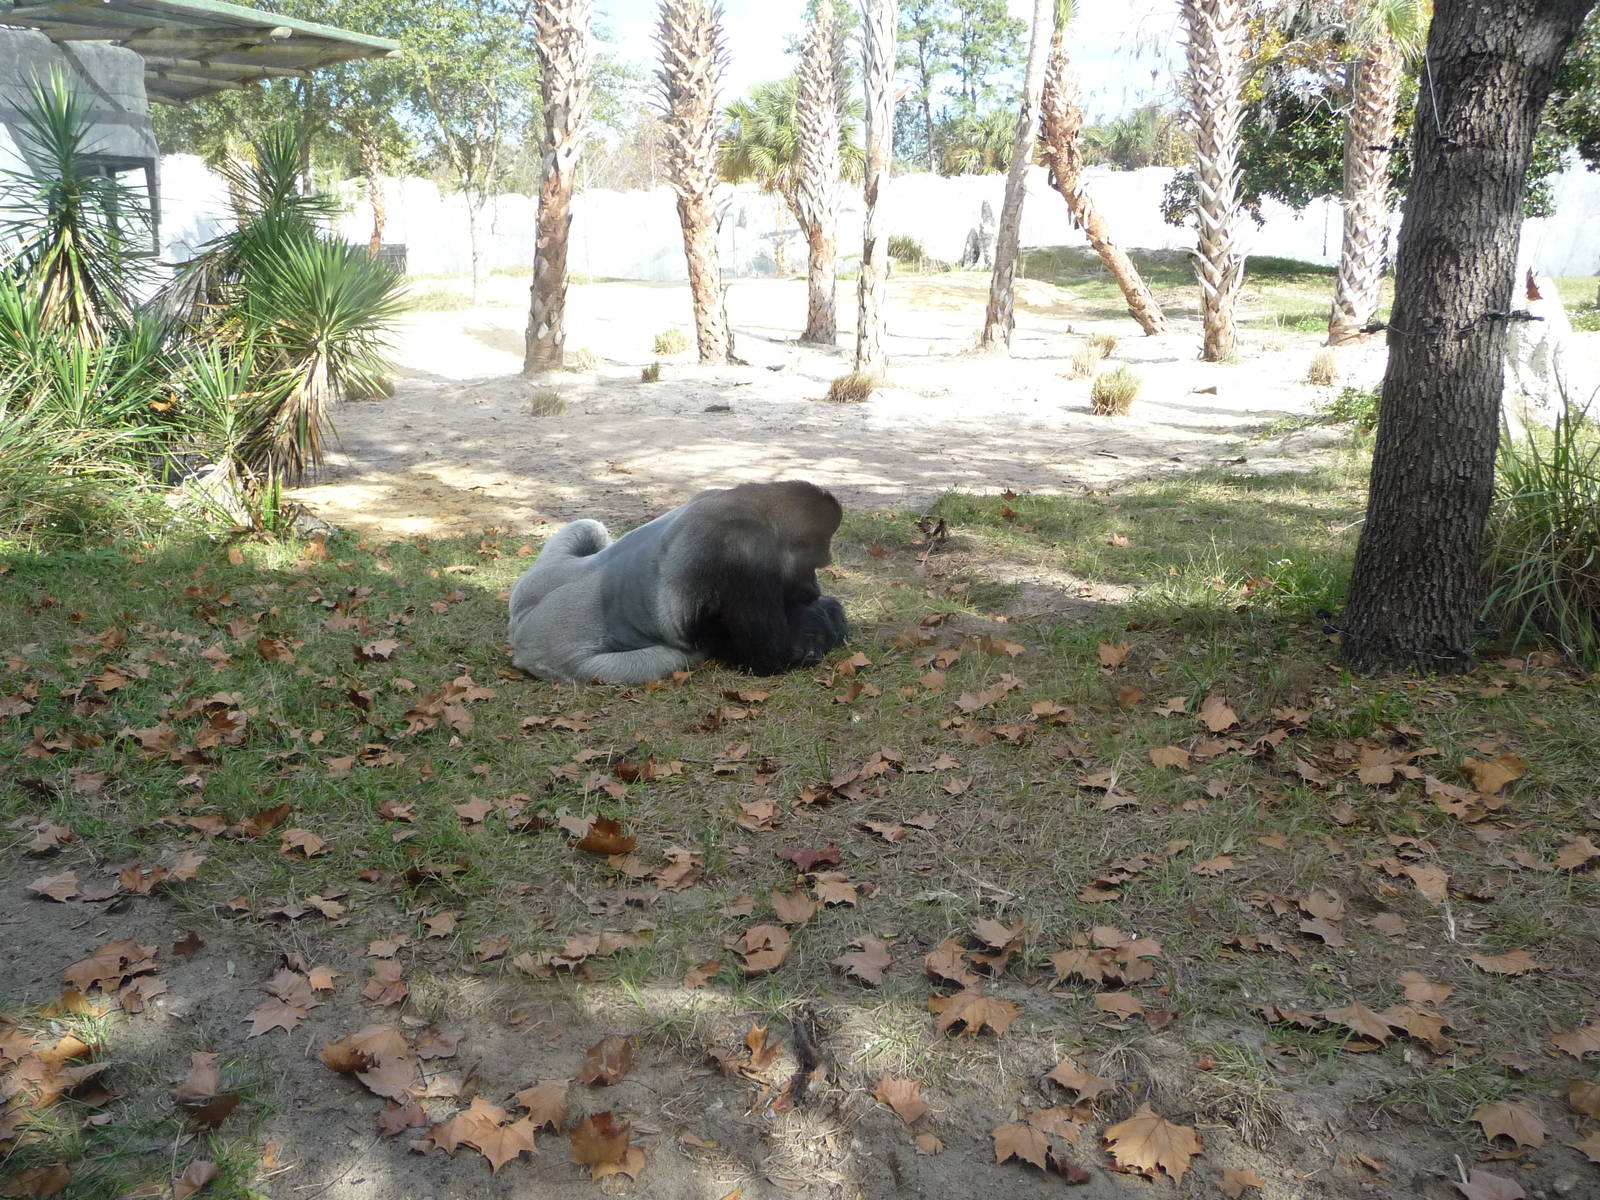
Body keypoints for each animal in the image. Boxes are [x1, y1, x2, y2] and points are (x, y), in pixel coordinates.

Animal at [507, 480, 849, 684]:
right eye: (814, 565)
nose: (815, 589)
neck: (756, 509)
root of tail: (519, 629)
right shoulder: (748, 554)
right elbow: (773, 656)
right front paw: (827, 615)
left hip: (534, 581)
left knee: (588, 526)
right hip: (555, 658)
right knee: (674, 658)